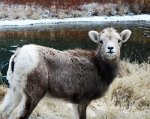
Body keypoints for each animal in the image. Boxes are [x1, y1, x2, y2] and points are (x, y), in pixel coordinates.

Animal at [0, 27, 131, 118]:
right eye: (101, 41)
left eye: (119, 40)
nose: (110, 49)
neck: (100, 69)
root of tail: (17, 56)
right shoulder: (83, 101)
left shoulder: (75, 103)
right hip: (32, 95)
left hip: (15, 91)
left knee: (4, 112)